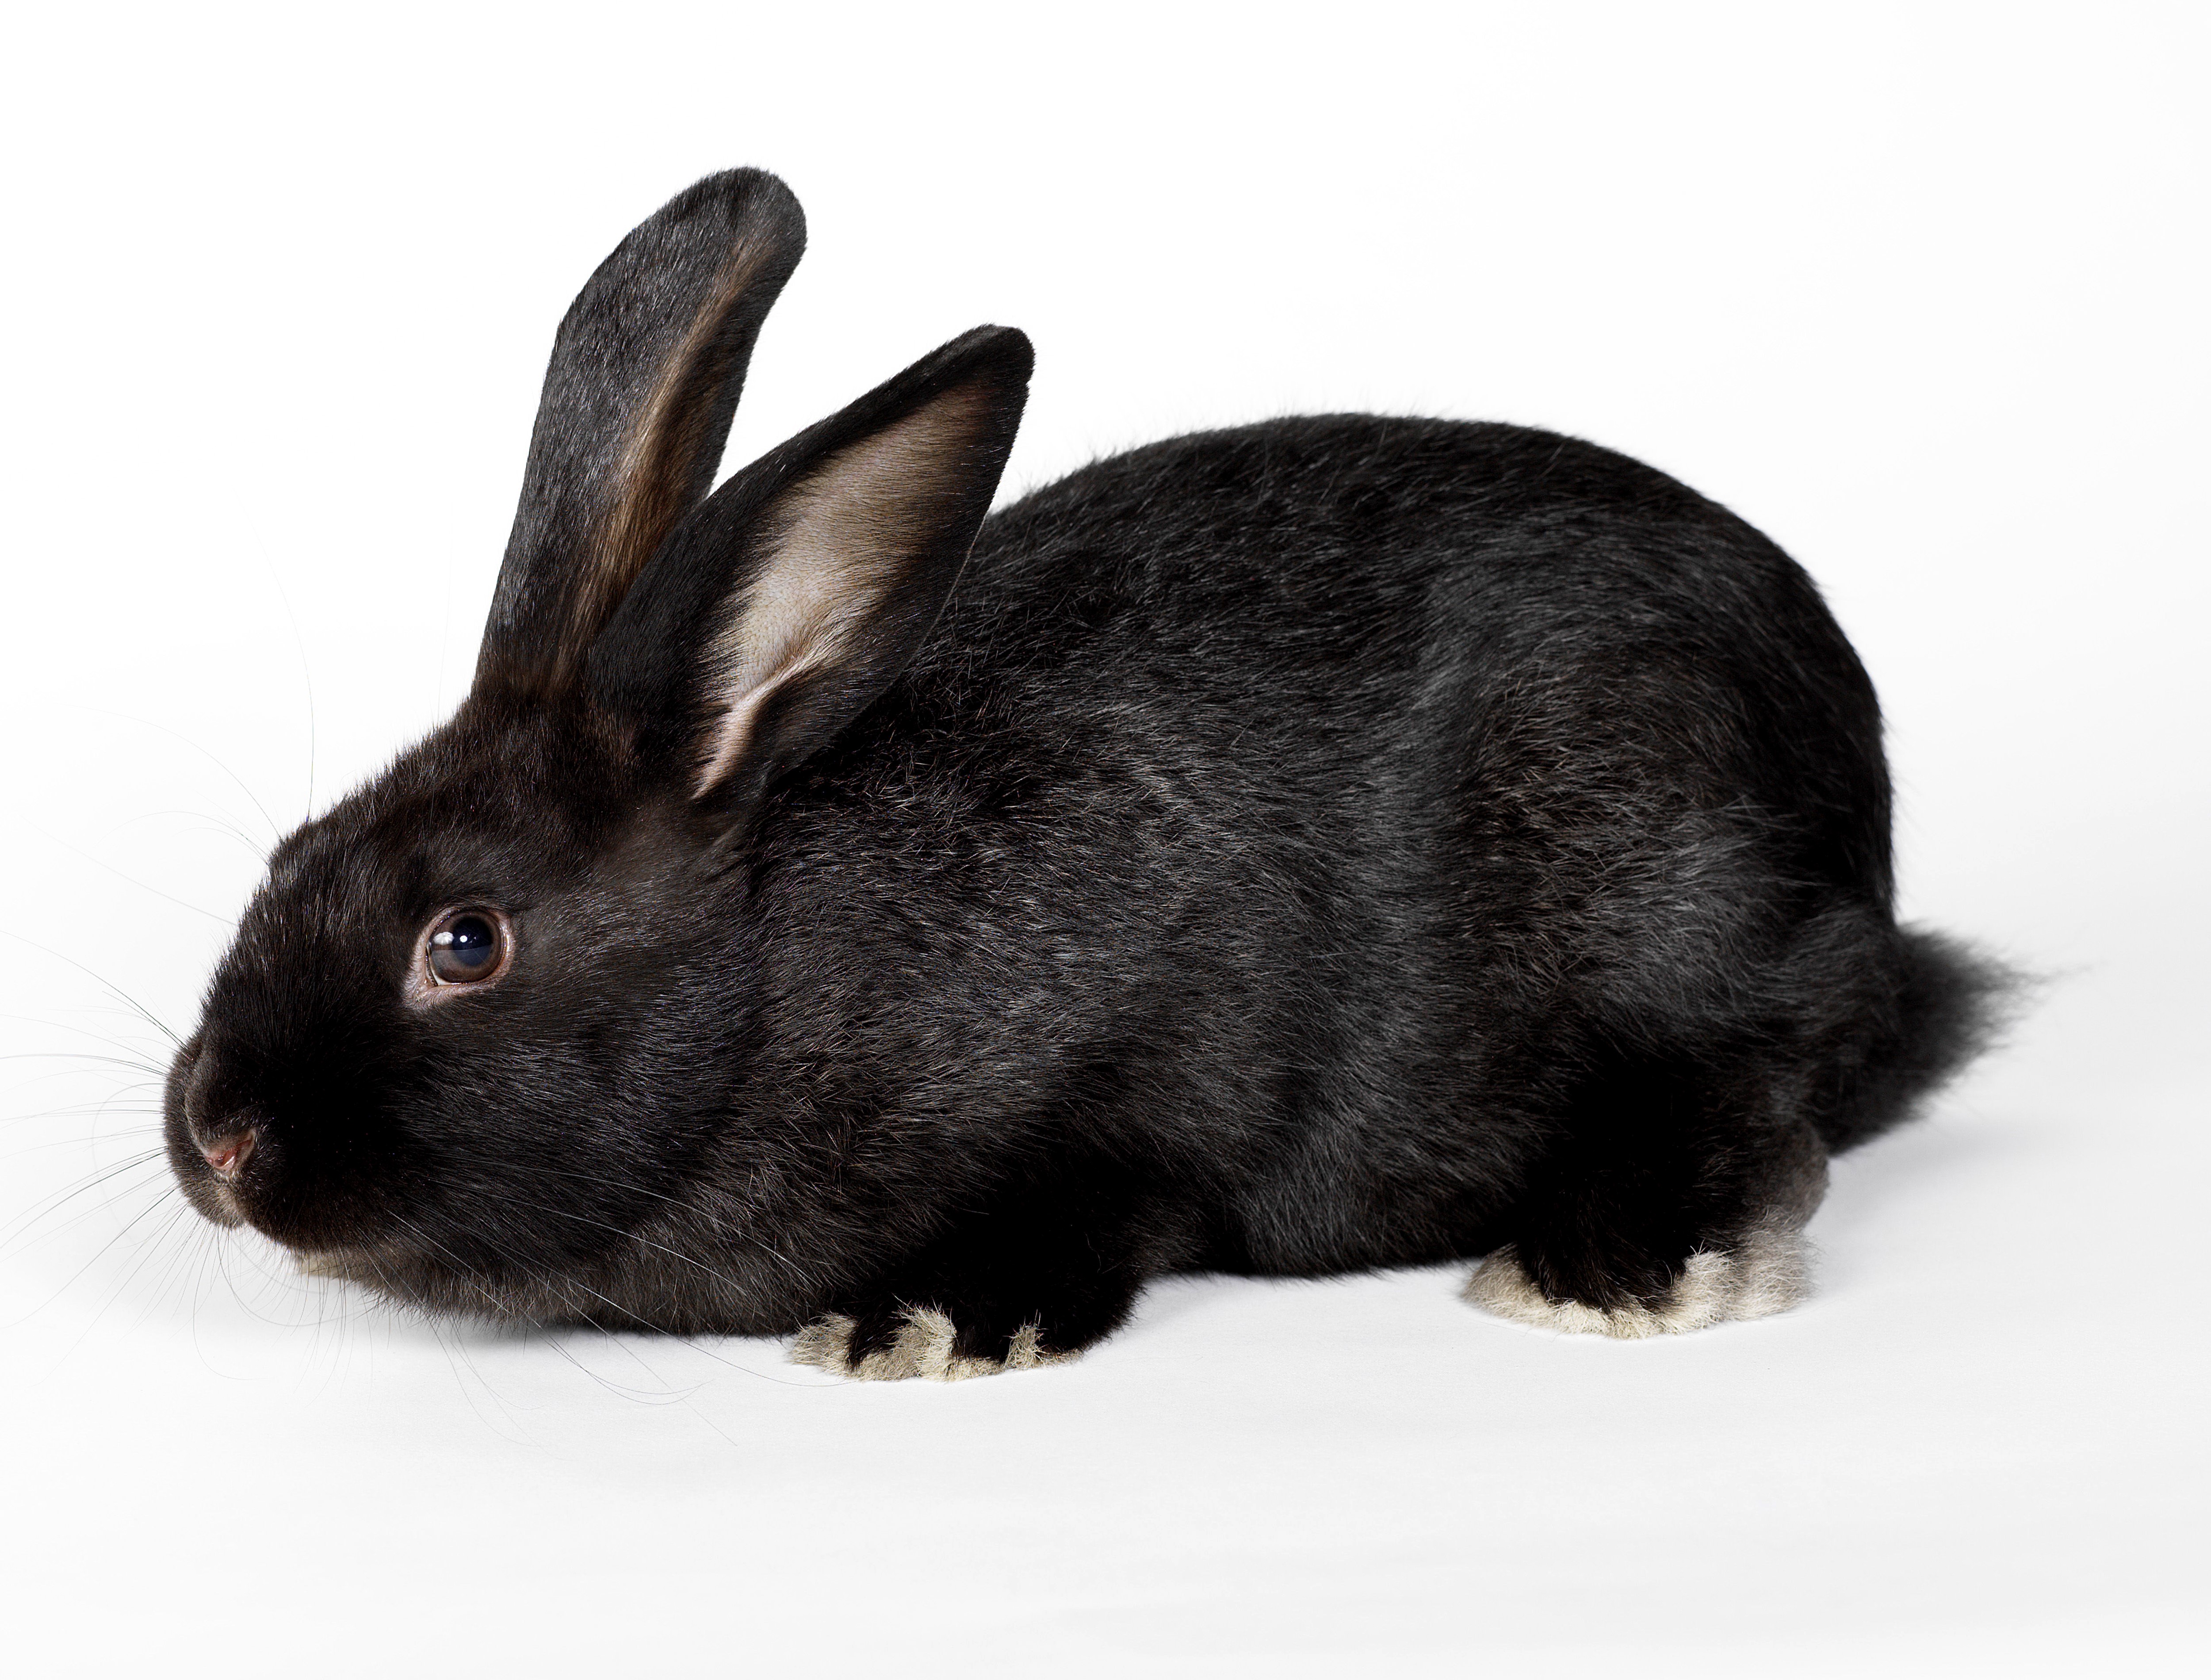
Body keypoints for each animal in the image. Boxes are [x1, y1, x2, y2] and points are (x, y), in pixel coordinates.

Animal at [163, 167, 2003, 1380]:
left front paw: (918, 1320)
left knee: (1757, 1092)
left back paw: (1611, 1268)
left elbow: (1106, 1195)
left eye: (464, 942)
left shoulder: (1154, 1039)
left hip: (1679, 899)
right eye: (286, 859)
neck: (769, 972)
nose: (219, 1140)